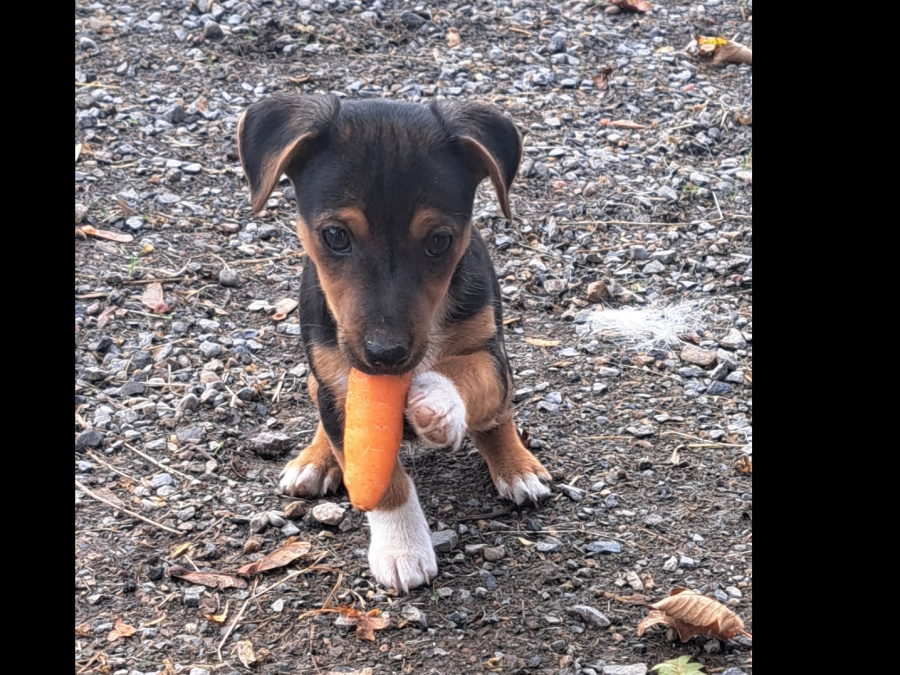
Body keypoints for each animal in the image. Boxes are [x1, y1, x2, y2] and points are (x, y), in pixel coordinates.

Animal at [236, 95, 552, 592]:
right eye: (335, 236)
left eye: (440, 241)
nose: (386, 355)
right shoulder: (339, 378)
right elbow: (378, 474)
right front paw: (402, 549)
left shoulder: (490, 354)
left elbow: (463, 374)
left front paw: (435, 400)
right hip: (320, 378)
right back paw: (314, 460)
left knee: (498, 416)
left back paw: (517, 467)